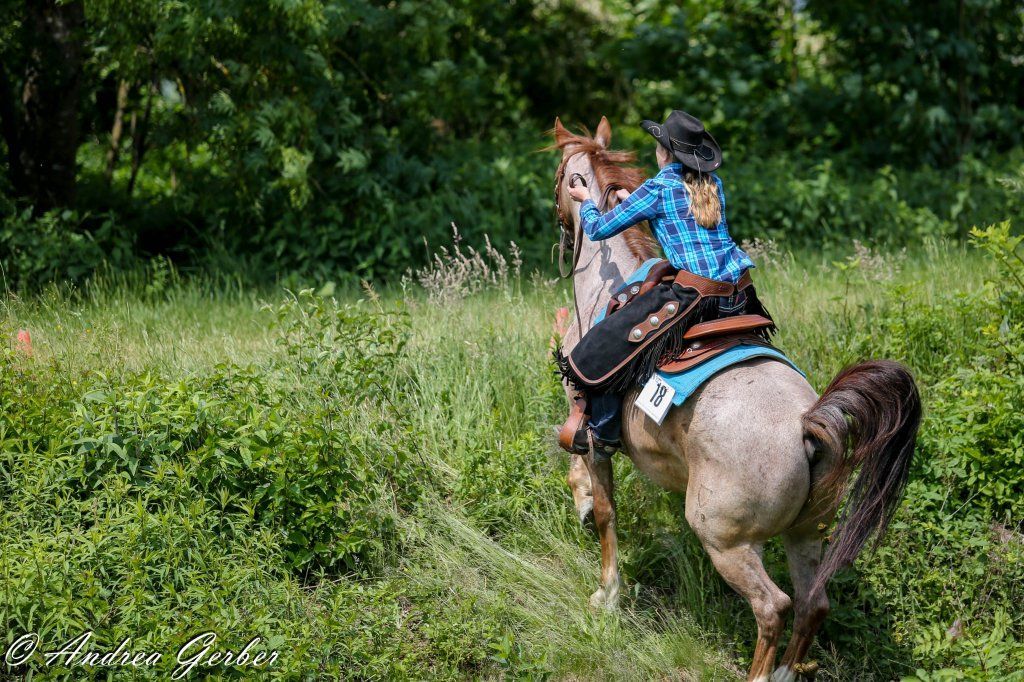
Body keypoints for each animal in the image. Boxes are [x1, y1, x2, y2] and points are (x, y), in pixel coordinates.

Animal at [551, 117, 921, 682]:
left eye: (559, 177)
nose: (562, 224)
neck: (603, 289)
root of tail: (805, 426)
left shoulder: (589, 422)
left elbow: (604, 507)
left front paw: (606, 591)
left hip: (727, 542)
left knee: (774, 608)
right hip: (807, 532)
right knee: (813, 603)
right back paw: (789, 670)